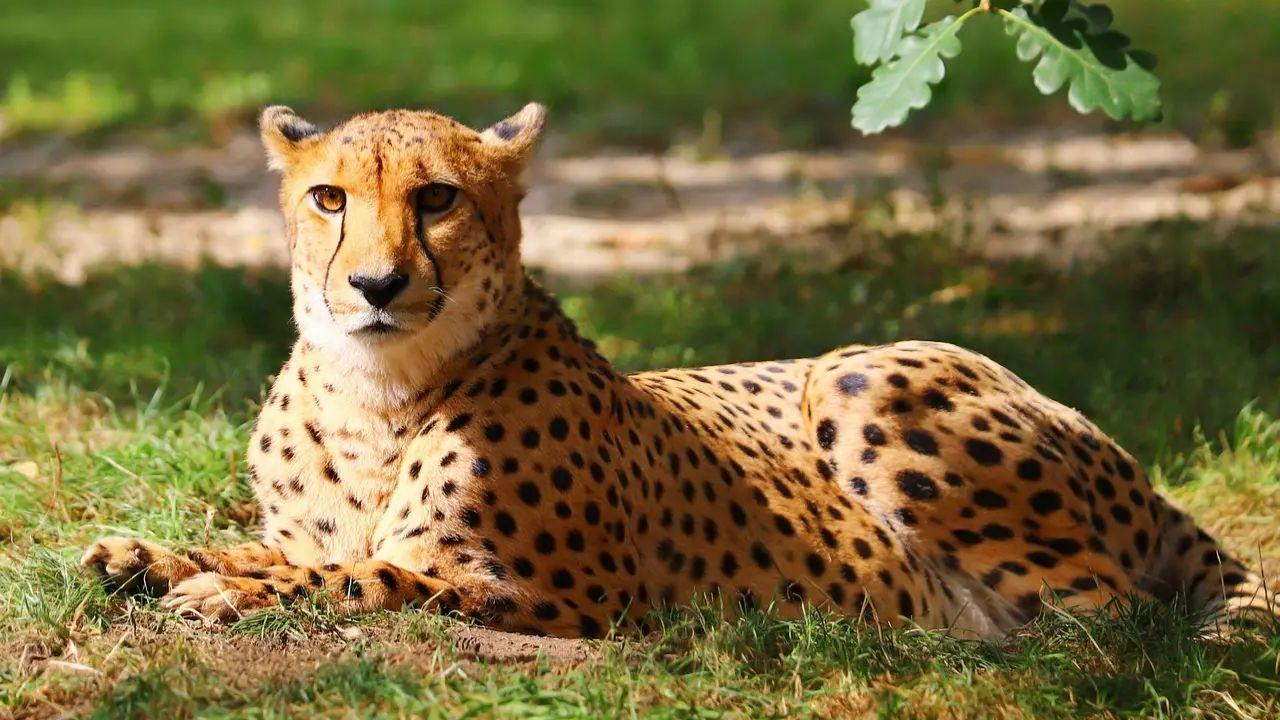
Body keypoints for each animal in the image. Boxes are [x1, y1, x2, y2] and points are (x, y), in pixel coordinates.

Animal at [82, 102, 1278, 638]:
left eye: (437, 197)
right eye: (329, 197)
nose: (374, 285)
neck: (377, 394)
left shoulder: (567, 593)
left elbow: (370, 576)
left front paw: (216, 591)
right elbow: (280, 549)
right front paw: (147, 556)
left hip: (862, 372)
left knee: (1116, 620)